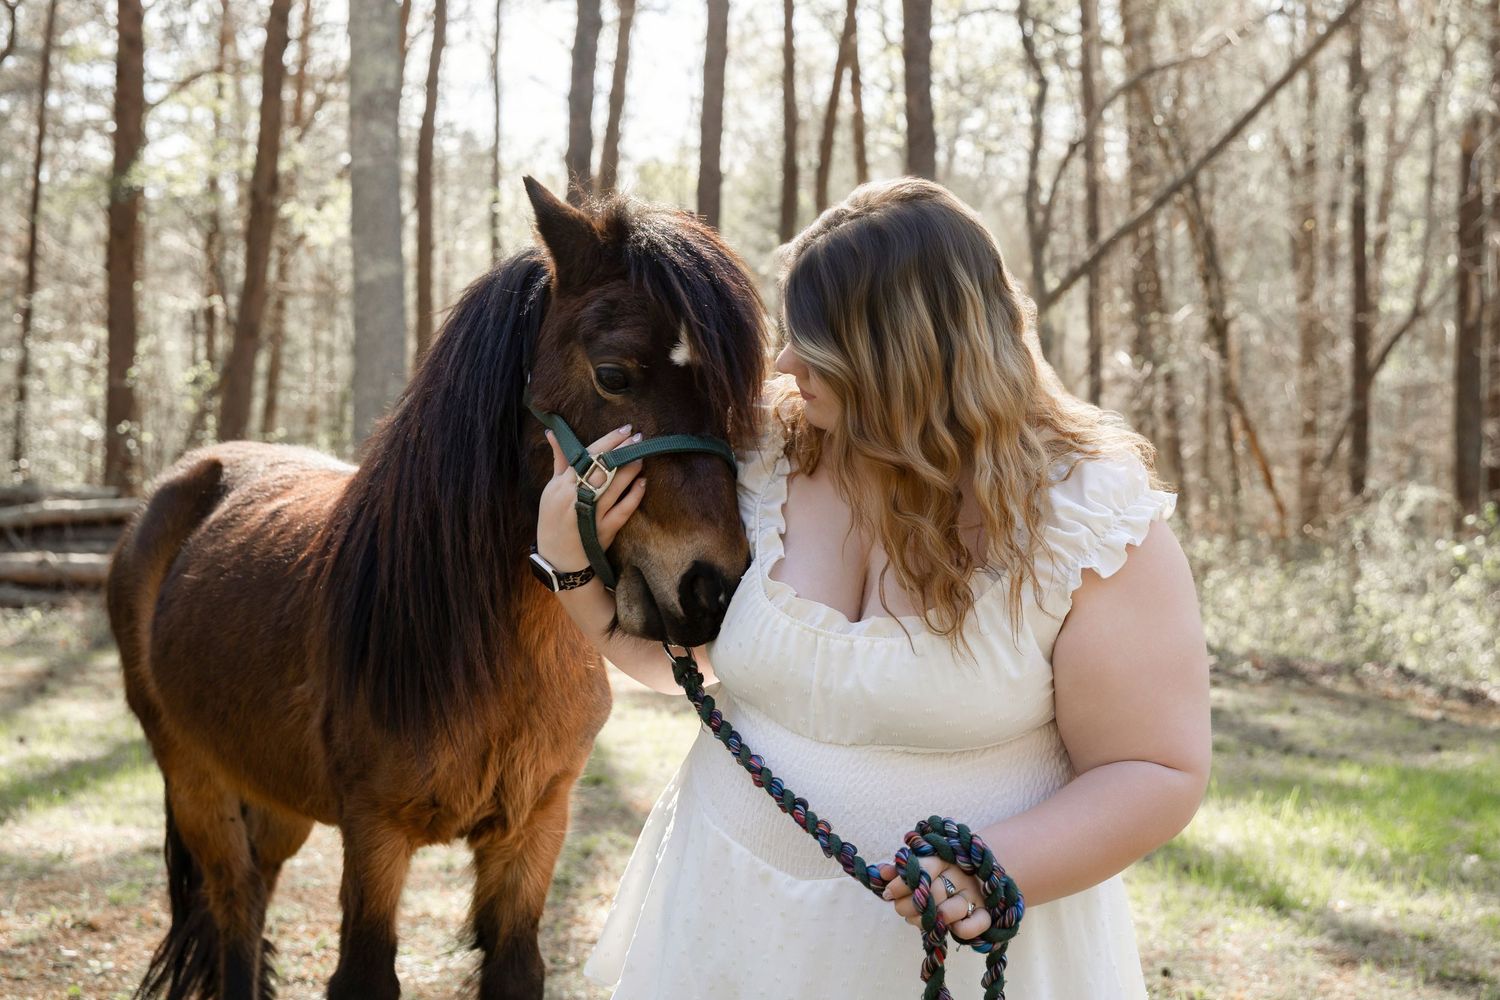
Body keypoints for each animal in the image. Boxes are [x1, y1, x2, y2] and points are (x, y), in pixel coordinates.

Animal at [105, 176, 769, 1000]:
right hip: (197, 781)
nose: (715, 586)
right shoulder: (375, 833)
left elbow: (516, 966)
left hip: (274, 793)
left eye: (735, 395)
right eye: (614, 375)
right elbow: (365, 970)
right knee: (233, 907)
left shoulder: (536, 825)